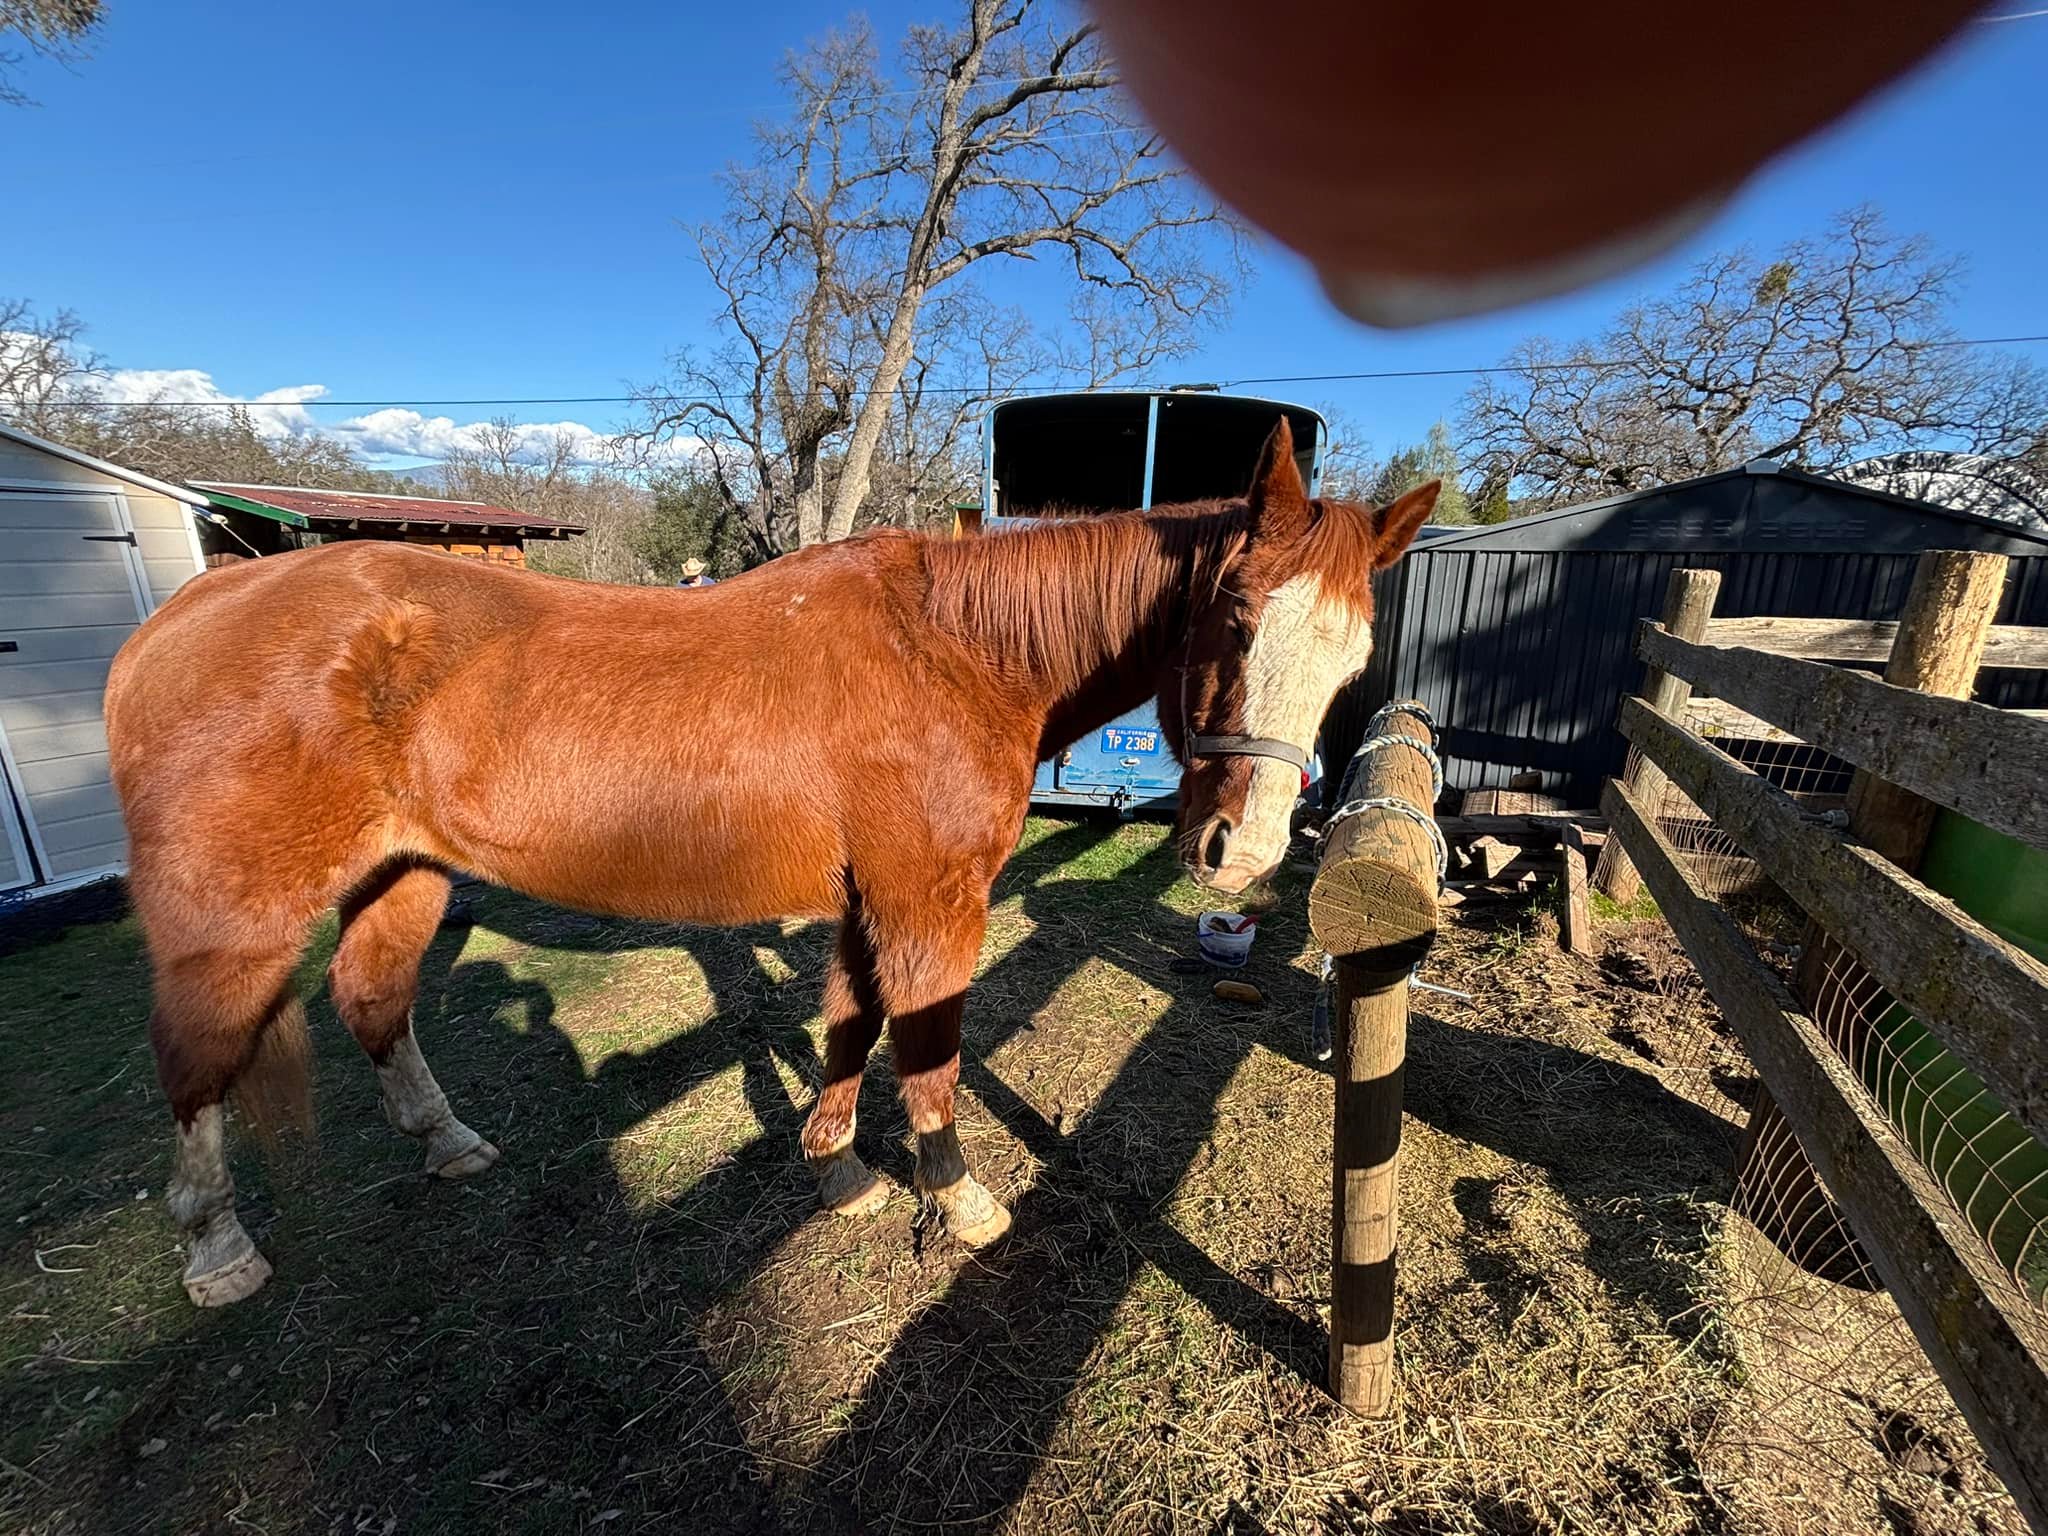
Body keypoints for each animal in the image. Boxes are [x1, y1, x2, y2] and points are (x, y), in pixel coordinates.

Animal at [104, 420, 1437, 1306]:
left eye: (1354, 655)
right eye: (1236, 616)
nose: (1237, 853)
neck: (957, 652)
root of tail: (172, 623)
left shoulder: (864, 900)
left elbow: (849, 1025)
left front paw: (836, 1170)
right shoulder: (930, 902)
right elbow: (929, 1046)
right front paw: (956, 1197)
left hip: (407, 877)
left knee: (373, 1001)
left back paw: (447, 1143)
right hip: (235, 919)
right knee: (192, 1059)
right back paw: (217, 1250)